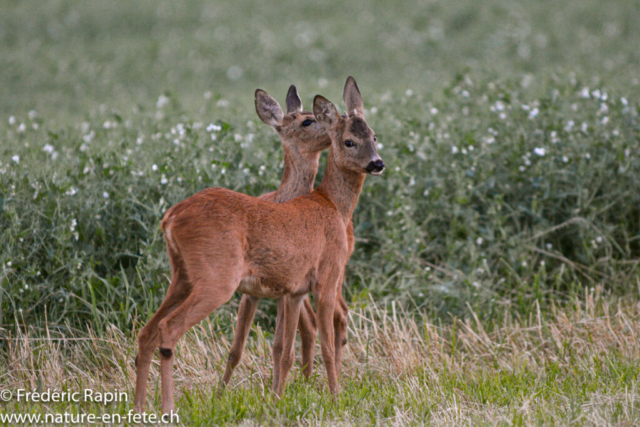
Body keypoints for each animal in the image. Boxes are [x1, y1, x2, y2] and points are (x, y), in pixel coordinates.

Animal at [134, 77, 380, 414]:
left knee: (146, 331)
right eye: (349, 142)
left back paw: (139, 408)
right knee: (168, 330)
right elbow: (324, 345)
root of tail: (170, 217)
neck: (332, 206)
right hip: (218, 278)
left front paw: (279, 398)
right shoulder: (325, 278)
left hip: (182, 276)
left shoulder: (293, 290)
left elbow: (283, 349)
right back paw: (169, 408)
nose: (377, 163)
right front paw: (335, 398)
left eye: (375, 136)